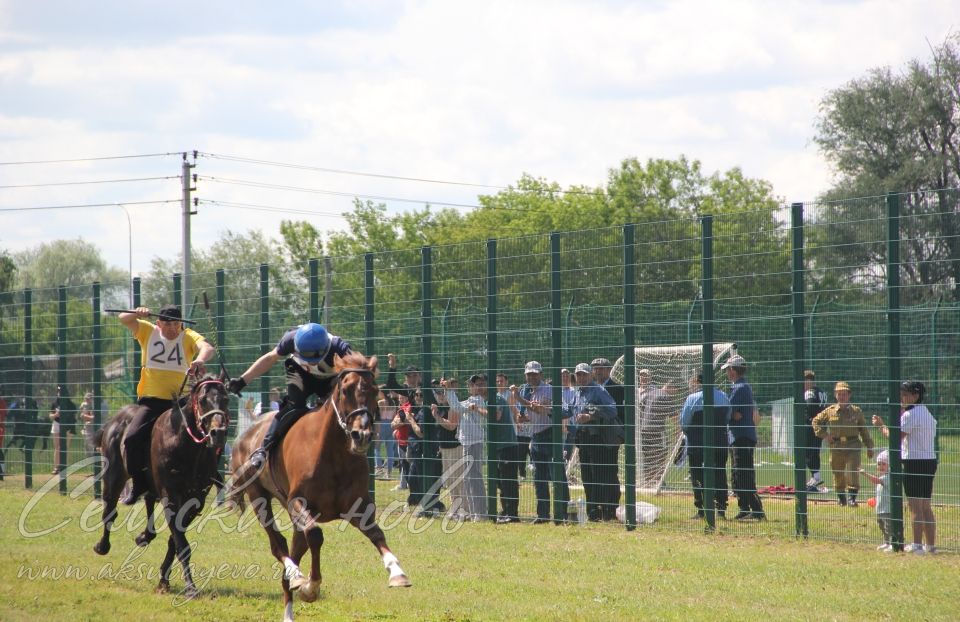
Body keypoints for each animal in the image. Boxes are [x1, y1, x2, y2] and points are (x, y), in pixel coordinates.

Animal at [94, 372, 231, 596]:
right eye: (203, 400)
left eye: (226, 399)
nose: (218, 433)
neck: (186, 444)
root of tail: (115, 420)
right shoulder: (171, 495)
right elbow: (181, 544)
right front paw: (190, 588)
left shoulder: (195, 500)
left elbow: (175, 540)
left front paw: (164, 580)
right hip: (114, 476)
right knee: (109, 511)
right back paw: (102, 546)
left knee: (148, 500)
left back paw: (145, 536)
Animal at [228, 354, 408, 620]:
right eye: (345, 390)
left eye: (375, 390)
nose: (362, 435)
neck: (333, 452)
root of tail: (245, 434)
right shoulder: (298, 502)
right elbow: (315, 534)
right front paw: (310, 586)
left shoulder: (358, 506)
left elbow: (376, 533)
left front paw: (397, 571)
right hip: (258, 496)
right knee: (278, 544)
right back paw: (295, 576)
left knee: (294, 549)